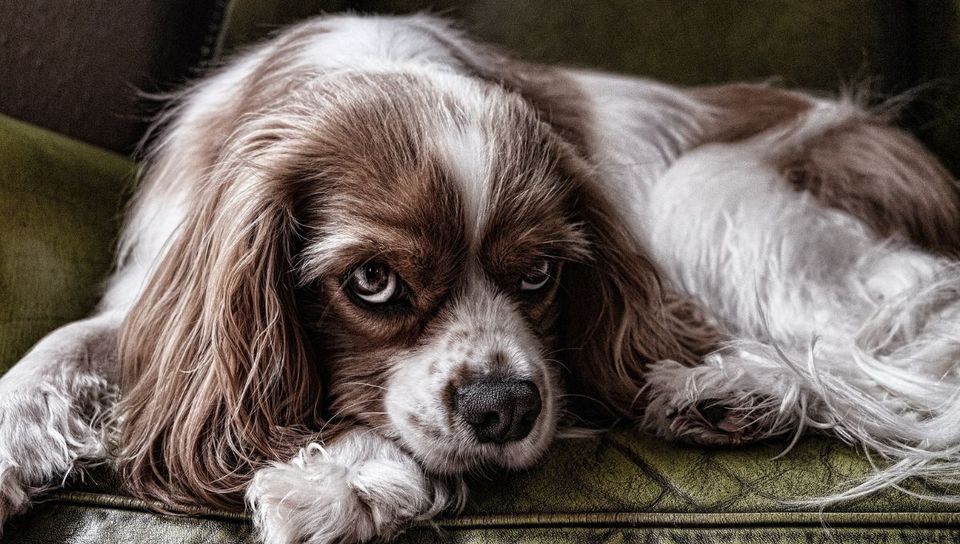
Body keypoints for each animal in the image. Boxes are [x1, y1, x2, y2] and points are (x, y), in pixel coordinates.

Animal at [1, 12, 960, 544]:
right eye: (374, 282)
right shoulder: (170, 292)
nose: (505, 408)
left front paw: (342, 479)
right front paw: (11, 442)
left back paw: (732, 388)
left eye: (539, 273)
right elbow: (63, 346)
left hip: (714, 191)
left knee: (884, 342)